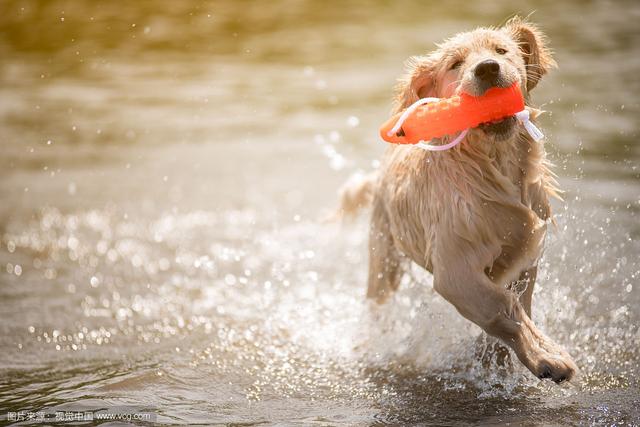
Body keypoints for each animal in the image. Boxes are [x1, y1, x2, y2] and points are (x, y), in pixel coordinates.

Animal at [342, 16, 576, 384]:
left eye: (501, 50)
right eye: (455, 64)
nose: (488, 69)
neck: (492, 166)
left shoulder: (526, 251)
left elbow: (519, 300)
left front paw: (497, 359)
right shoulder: (455, 268)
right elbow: (502, 307)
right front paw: (547, 357)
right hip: (384, 252)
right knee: (378, 297)